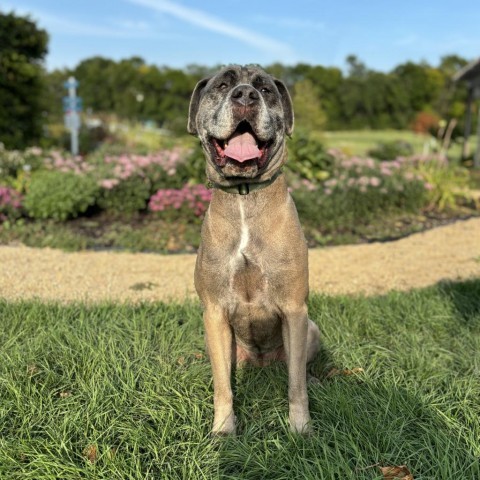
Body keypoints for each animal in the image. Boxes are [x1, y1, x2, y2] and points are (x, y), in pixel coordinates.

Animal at [187, 64, 318, 436]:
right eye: (222, 85)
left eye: (266, 89)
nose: (245, 95)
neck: (245, 195)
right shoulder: (214, 312)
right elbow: (222, 385)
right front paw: (223, 430)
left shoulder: (294, 311)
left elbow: (295, 384)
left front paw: (300, 428)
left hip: (311, 329)